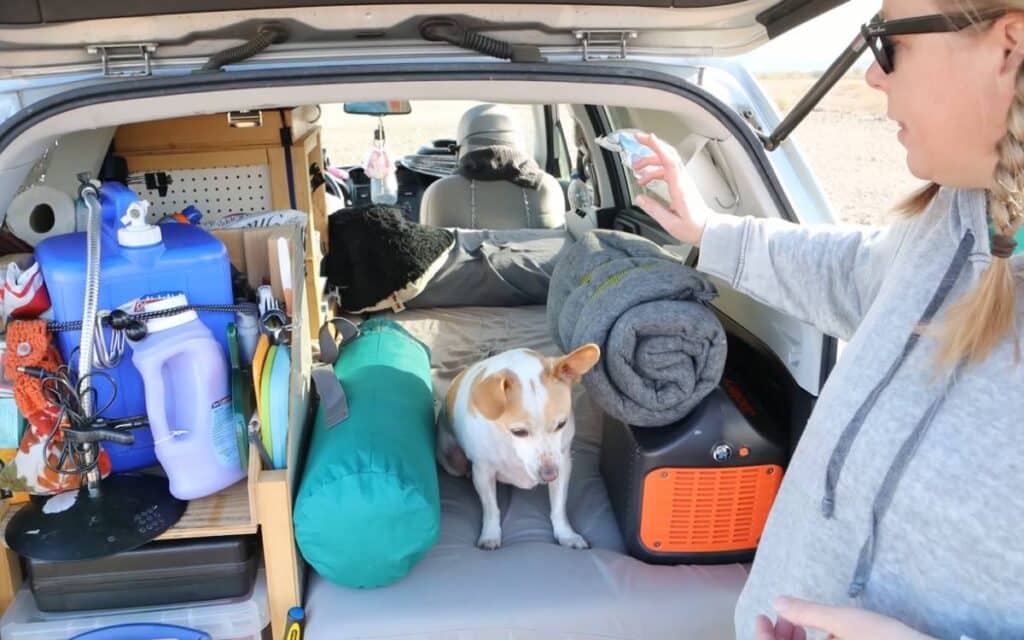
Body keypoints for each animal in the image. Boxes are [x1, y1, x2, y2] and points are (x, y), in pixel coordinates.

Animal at [438, 344, 598, 548]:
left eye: (562, 424)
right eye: (519, 432)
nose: (550, 475)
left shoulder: (563, 464)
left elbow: (558, 507)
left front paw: (566, 534)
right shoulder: (483, 473)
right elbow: (491, 508)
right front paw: (490, 535)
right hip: (453, 462)